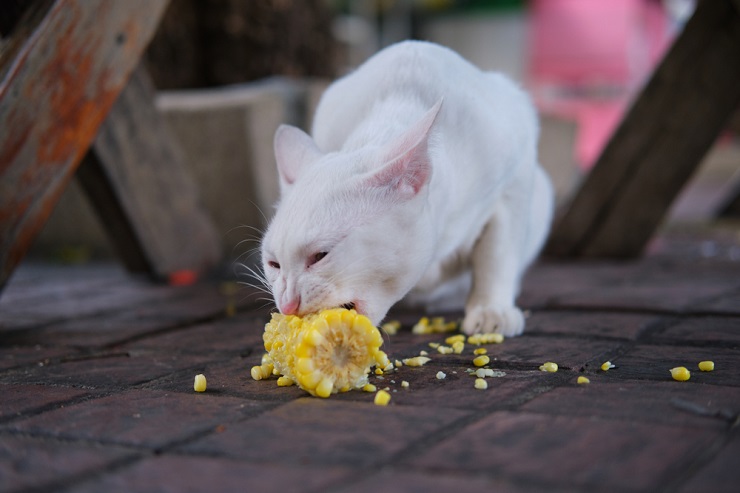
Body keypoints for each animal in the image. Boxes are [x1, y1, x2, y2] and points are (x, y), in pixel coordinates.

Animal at [260, 40, 548, 336]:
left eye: (320, 256)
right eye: (273, 264)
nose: (288, 304)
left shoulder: (515, 179)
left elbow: (497, 256)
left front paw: (491, 311)